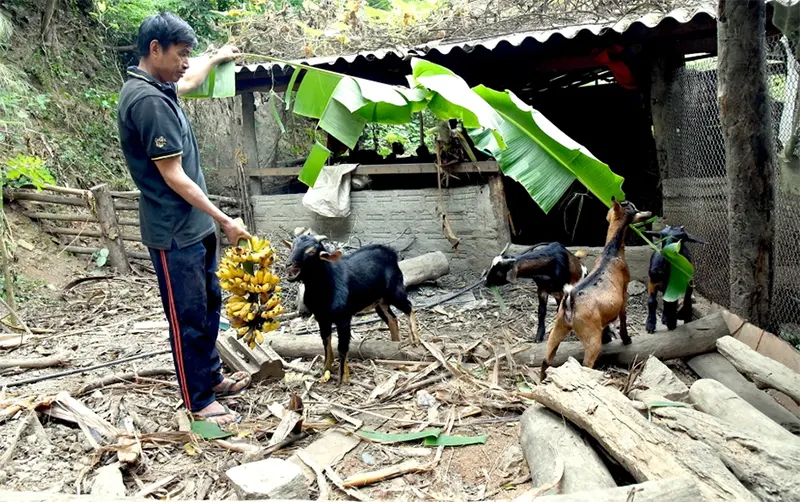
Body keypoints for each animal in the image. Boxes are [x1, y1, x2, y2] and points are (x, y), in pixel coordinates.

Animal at [540, 198, 652, 378]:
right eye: (633, 209)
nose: (648, 213)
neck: (611, 253)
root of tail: (569, 303)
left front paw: (607, 337)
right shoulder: (624, 293)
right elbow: (623, 316)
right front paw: (626, 339)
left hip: (559, 326)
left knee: (546, 358)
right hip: (590, 336)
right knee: (586, 364)